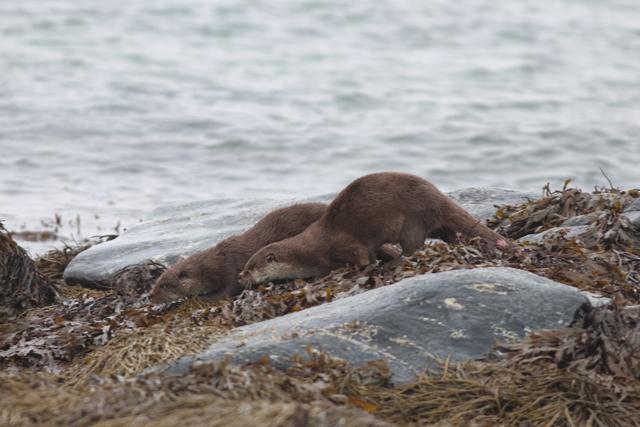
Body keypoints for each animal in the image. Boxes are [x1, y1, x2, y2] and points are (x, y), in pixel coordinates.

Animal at [238, 173, 512, 288]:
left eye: (250, 265)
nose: (240, 277)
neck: (309, 250)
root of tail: (437, 194)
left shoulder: (344, 245)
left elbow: (364, 258)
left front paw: (367, 269)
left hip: (412, 218)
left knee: (413, 246)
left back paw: (390, 265)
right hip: (432, 222)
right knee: (448, 235)